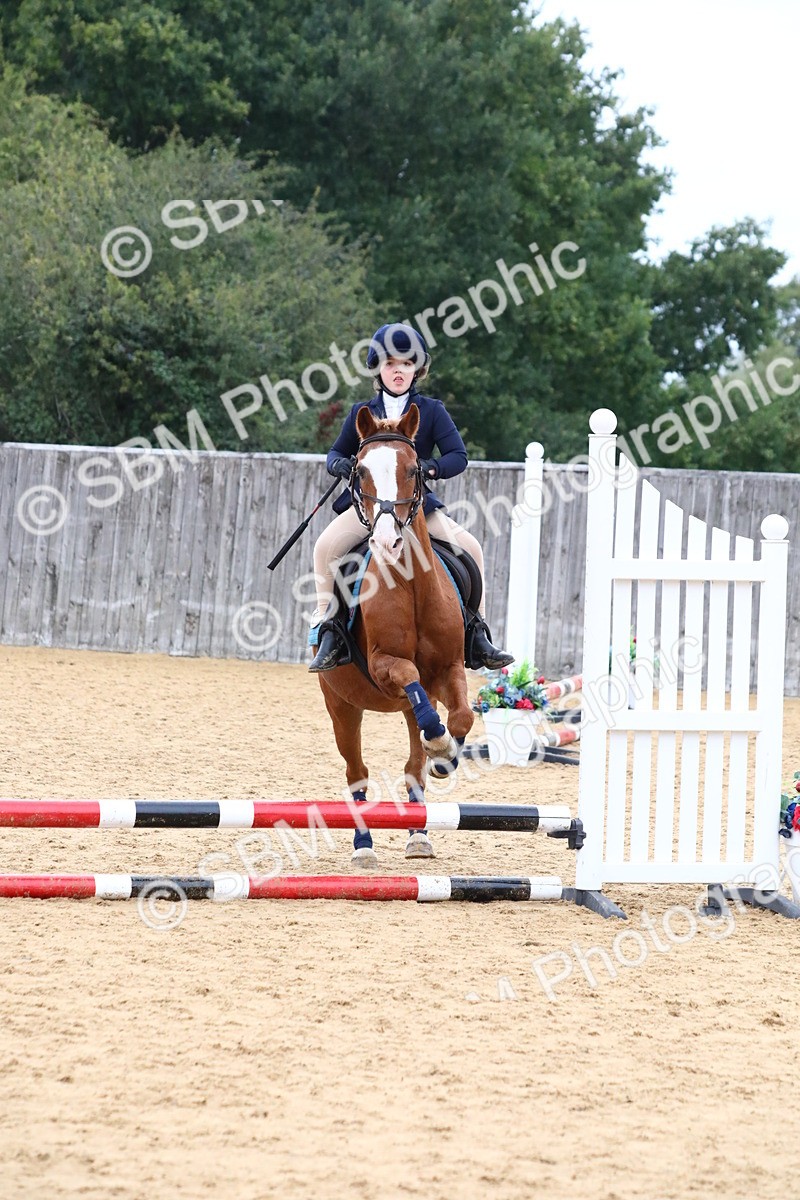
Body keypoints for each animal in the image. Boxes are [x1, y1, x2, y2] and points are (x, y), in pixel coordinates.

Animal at [317, 402, 475, 866]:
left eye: (413, 469)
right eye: (360, 471)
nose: (387, 543)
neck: (412, 585)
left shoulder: (450, 667)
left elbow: (461, 716)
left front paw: (446, 754)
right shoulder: (383, 666)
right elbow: (406, 673)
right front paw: (441, 744)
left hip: (404, 707)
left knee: (412, 764)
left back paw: (419, 836)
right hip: (341, 706)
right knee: (356, 772)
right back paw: (364, 845)